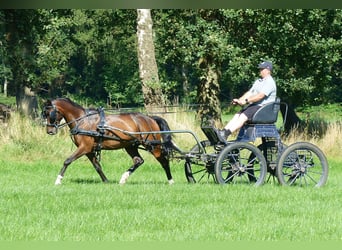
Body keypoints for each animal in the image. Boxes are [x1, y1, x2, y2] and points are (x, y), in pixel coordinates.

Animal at [41, 97, 178, 186]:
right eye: (44, 113)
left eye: (49, 113)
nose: (50, 131)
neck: (83, 120)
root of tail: (150, 118)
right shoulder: (89, 150)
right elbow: (97, 165)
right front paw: (106, 181)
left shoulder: (84, 147)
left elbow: (67, 161)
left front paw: (58, 180)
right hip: (130, 145)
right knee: (138, 160)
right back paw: (123, 179)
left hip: (152, 145)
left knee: (164, 161)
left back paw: (171, 181)